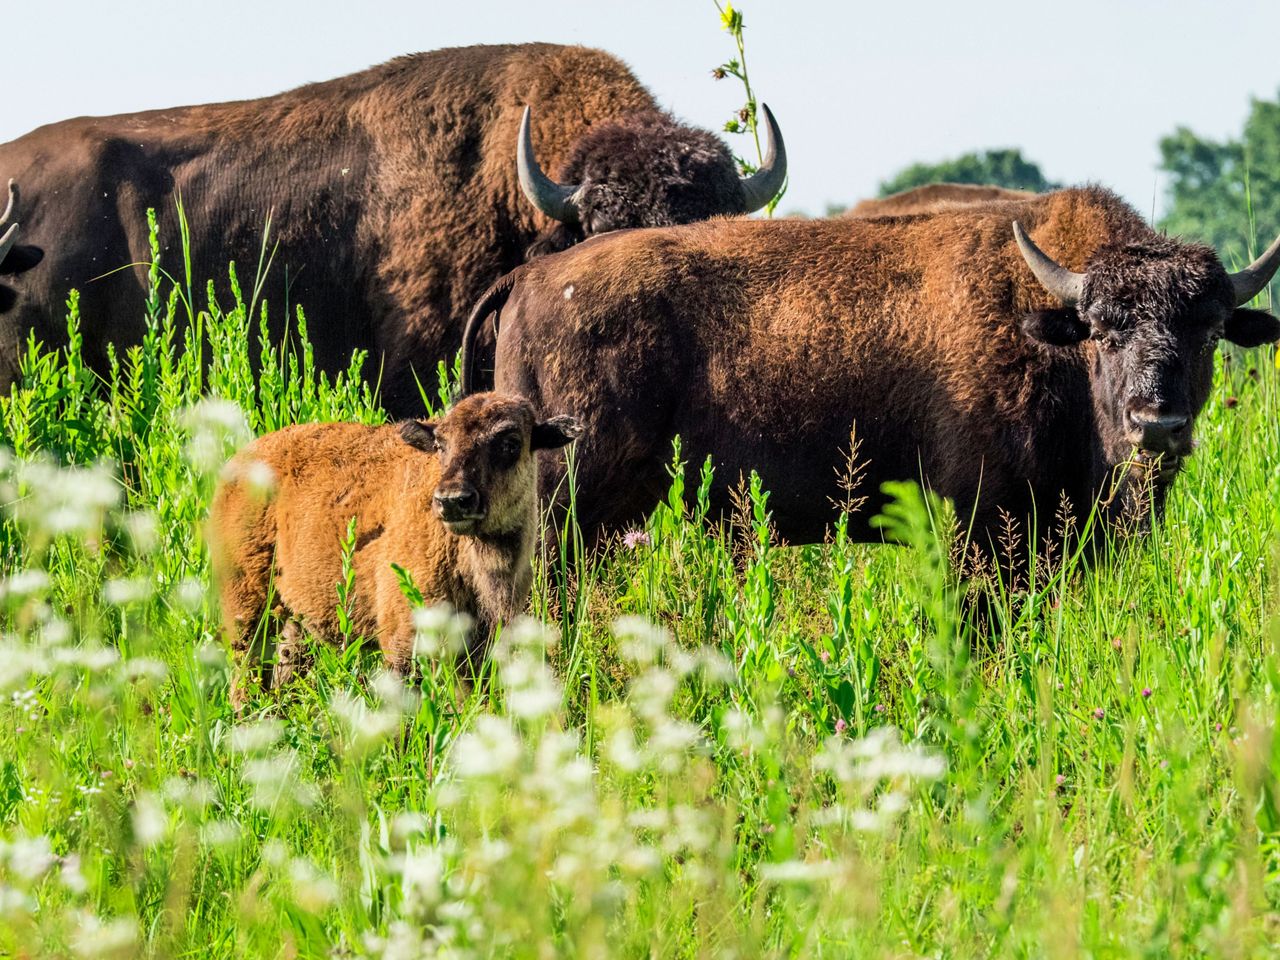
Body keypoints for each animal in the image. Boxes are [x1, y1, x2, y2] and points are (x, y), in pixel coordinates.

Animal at [211, 391, 586, 691]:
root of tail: (238, 463)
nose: (452, 500)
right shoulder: (403, 643)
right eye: (440, 445)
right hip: (248, 610)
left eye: (510, 443)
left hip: (293, 620)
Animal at [460, 186, 1280, 555]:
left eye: (1210, 332)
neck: (1048, 321)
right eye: (1102, 334)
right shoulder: (983, 524)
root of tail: (534, 276)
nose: (1158, 423)